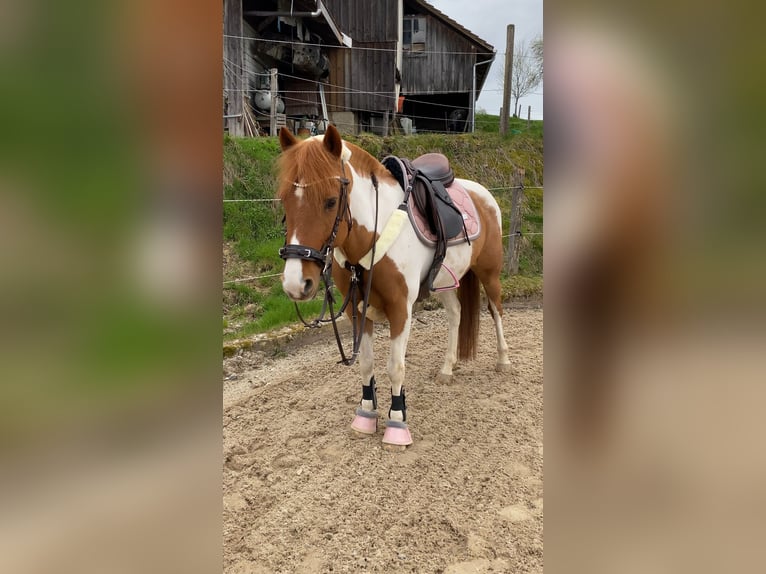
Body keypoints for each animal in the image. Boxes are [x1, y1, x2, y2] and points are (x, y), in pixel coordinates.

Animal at [276, 124, 510, 450]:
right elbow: (366, 363)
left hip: (489, 273)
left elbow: (395, 366)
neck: (371, 235)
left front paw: (397, 422)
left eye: (331, 201)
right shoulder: (357, 309)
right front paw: (366, 414)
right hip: (444, 283)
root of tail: (481, 192)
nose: (296, 282)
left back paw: (503, 360)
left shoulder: (401, 309)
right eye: (285, 200)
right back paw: (447, 368)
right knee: (456, 314)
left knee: (496, 309)